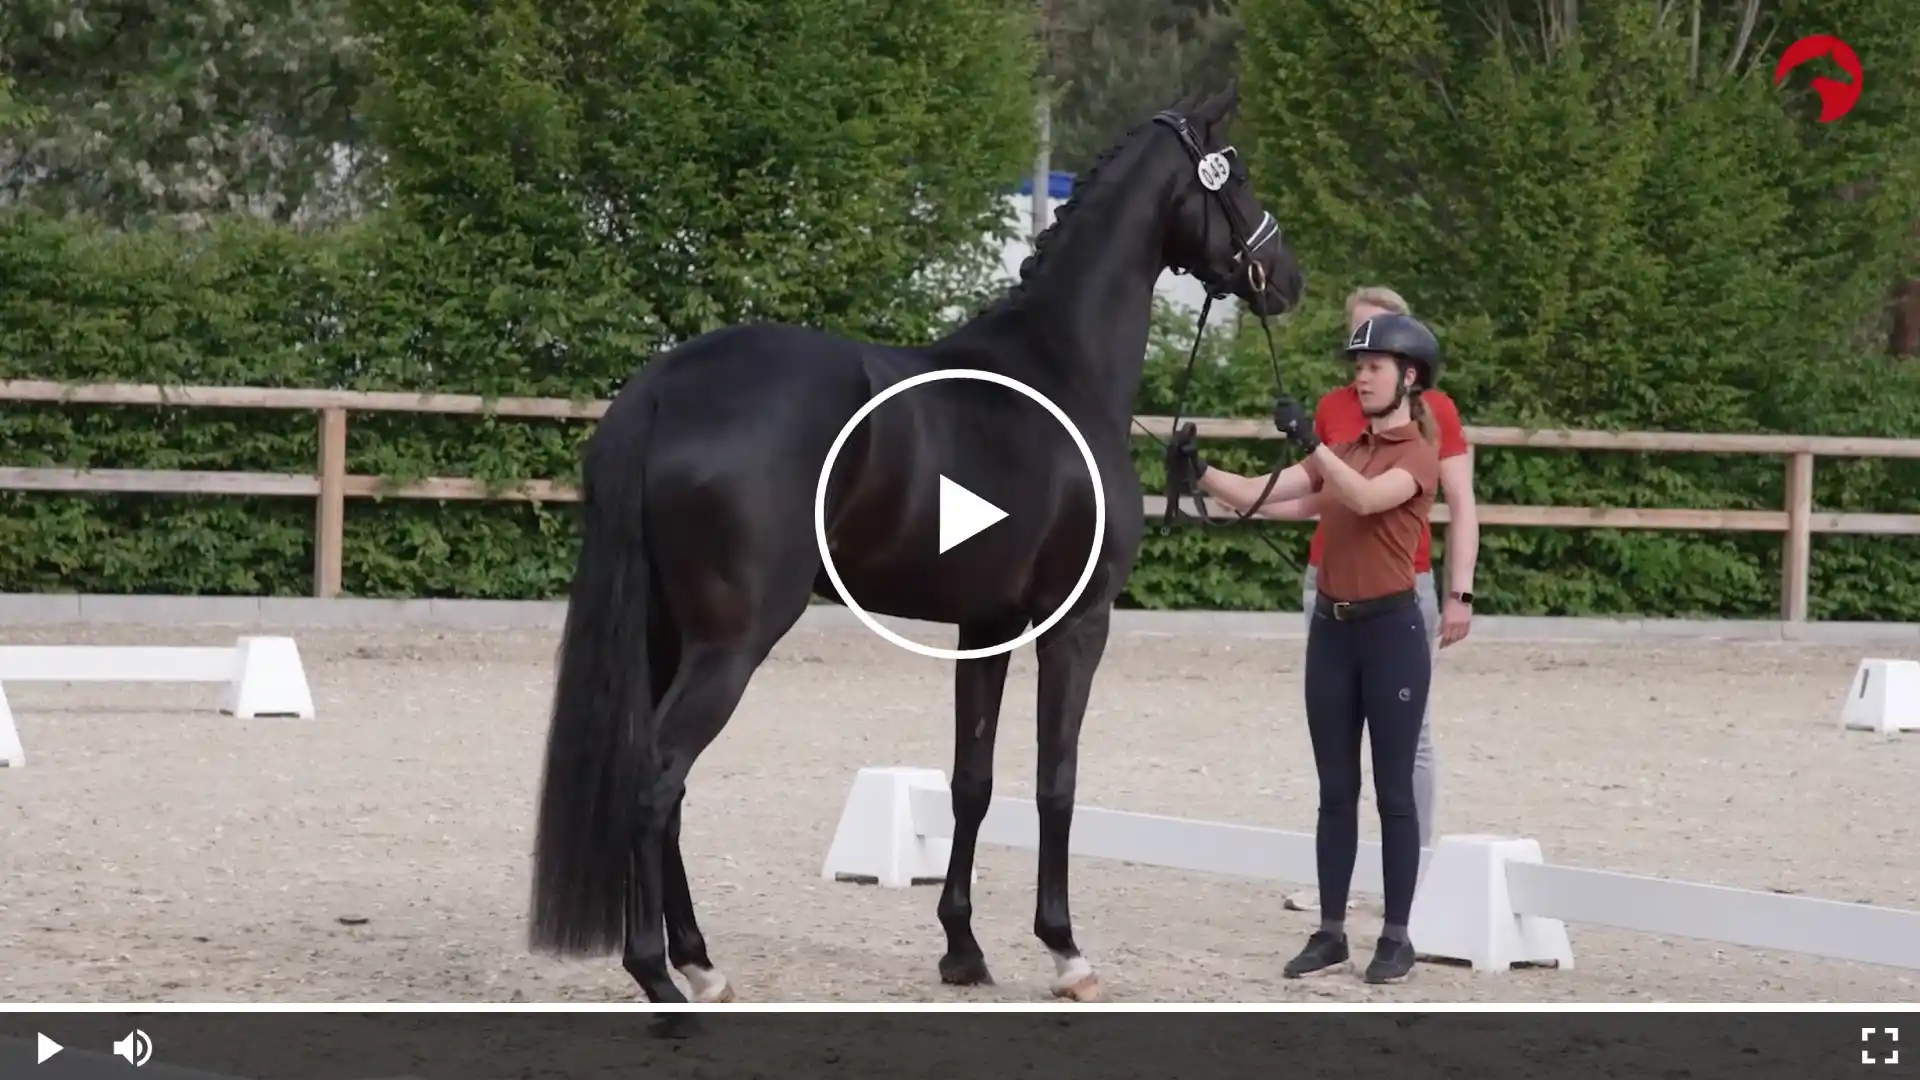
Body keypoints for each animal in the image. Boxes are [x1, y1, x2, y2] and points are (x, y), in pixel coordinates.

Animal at [526, 84, 1306, 1008]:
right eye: (1239, 177)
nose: (1286, 277)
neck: (1062, 369)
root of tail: (663, 386)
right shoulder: (1077, 622)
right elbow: (1057, 780)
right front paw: (1065, 949)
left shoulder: (985, 628)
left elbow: (973, 782)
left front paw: (962, 949)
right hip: (731, 643)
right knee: (657, 778)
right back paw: (658, 971)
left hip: (665, 634)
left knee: (665, 785)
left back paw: (700, 960)